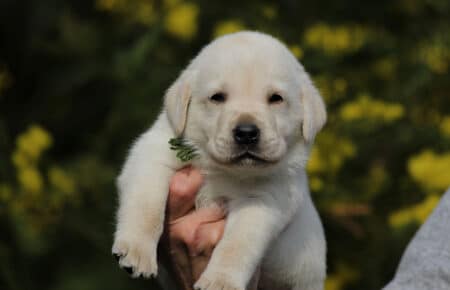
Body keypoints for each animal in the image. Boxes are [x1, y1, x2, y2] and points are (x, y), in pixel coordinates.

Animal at [113, 31, 326, 290]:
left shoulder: (263, 202)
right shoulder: (152, 154)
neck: (223, 170)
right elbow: (145, 206)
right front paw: (137, 250)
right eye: (217, 97)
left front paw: (220, 280)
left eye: (276, 98)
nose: (246, 133)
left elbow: (236, 246)